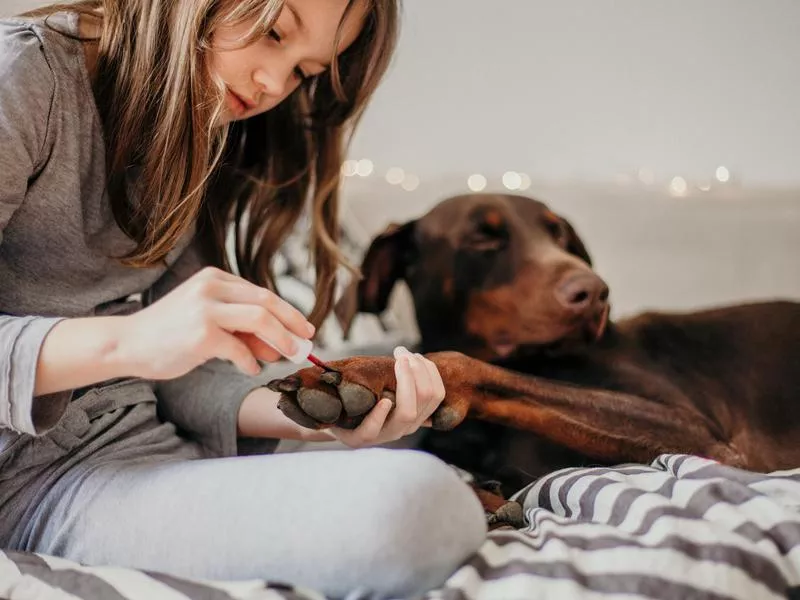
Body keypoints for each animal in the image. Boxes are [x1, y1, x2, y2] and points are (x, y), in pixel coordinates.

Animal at [270, 192, 800, 496]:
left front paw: (365, 372)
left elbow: (482, 370)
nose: (594, 291)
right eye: (483, 238)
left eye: (558, 233)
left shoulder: (702, 435)